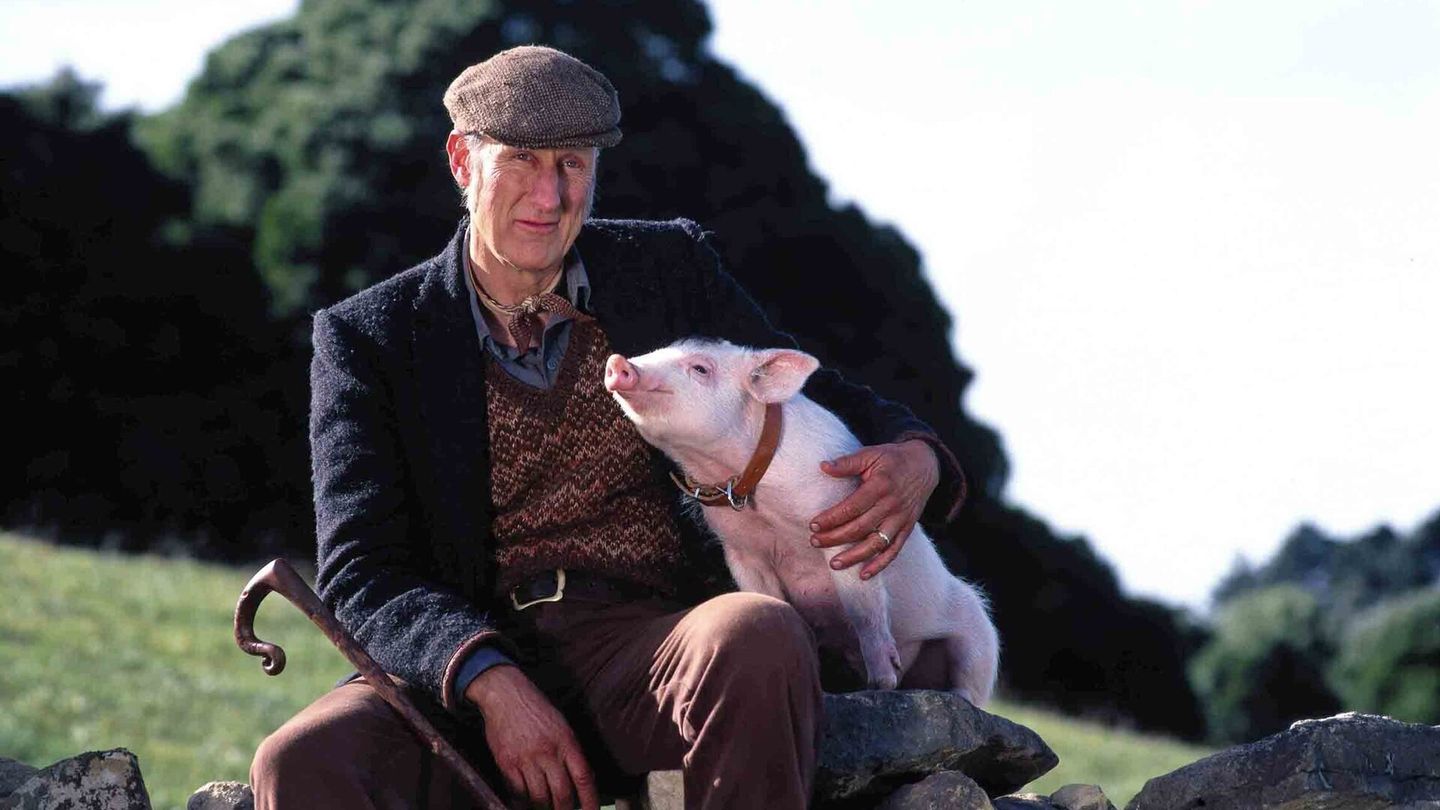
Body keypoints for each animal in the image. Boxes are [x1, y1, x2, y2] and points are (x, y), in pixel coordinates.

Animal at [604, 339, 999, 706]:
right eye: (658, 349)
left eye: (700, 368)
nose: (619, 362)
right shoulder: (741, 551)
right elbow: (766, 598)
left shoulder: (842, 528)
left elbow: (863, 607)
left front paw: (883, 683)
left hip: (980, 633)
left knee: (971, 679)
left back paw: (945, 695)